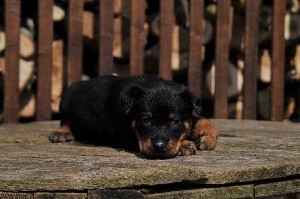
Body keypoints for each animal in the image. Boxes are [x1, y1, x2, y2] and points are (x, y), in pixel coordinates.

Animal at [48, 75, 218, 159]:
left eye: (175, 121)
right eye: (146, 120)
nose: (159, 146)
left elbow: (201, 119)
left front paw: (207, 138)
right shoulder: (125, 136)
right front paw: (185, 145)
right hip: (66, 99)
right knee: (65, 120)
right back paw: (62, 133)